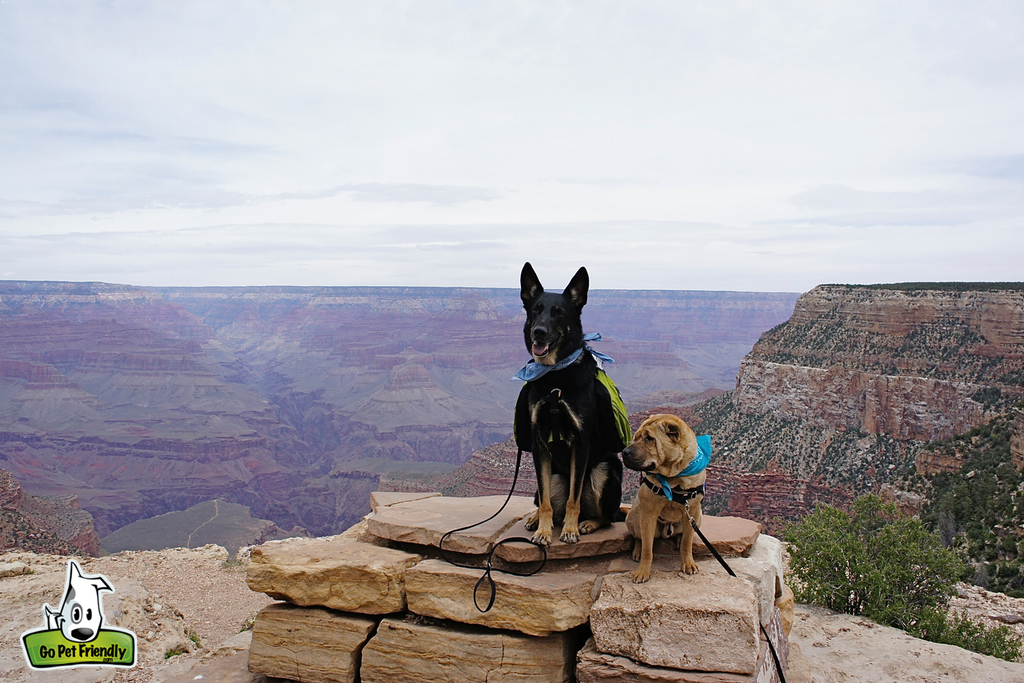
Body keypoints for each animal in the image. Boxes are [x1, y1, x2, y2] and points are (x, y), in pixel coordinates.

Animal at [514, 262, 624, 545]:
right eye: (535, 310)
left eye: (560, 313)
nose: (538, 332)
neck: (556, 377)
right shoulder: (539, 444)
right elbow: (545, 503)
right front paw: (543, 531)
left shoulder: (581, 441)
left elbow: (574, 500)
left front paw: (571, 530)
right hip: (555, 476)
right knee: (550, 504)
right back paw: (536, 520)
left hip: (606, 470)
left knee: (606, 515)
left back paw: (586, 523)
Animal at [623, 413, 707, 583]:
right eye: (635, 437)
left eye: (649, 438)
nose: (624, 452)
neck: (673, 479)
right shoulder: (648, 514)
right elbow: (647, 548)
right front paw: (642, 571)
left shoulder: (693, 511)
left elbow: (687, 542)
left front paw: (688, 563)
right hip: (634, 516)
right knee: (639, 537)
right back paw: (637, 550)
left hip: (699, 518)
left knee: (685, 534)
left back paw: (679, 538)